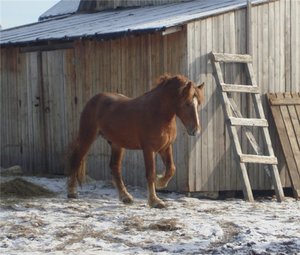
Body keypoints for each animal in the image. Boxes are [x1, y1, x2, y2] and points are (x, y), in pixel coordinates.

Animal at [67, 73, 205, 207]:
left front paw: (160, 182)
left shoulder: (165, 148)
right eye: (187, 103)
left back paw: (125, 197)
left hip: (117, 144)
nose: (195, 130)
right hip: (87, 137)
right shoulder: (149, 149)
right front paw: (155, 201)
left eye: (198, 104)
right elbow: (150, 173)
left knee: (115, 167)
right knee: (76, 159)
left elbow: (171, 169)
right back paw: (72, 192)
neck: (158, 114)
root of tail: (94, 99)